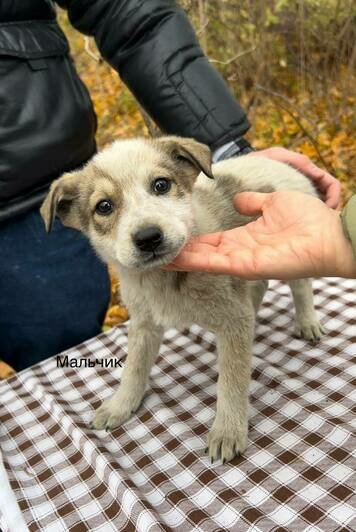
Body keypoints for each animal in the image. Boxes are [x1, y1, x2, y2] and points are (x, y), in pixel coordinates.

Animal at [40, 136, 324, 462]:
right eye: (104, 206)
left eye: (161, 185)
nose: (148, 237)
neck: (163, 279)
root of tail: (283, 163)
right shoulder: (144, 324)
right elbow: (134, 368)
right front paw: (120, 405)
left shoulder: (233, 319)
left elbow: (231, 382)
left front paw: (227, 430)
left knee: (301, 287)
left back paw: (307, 322)